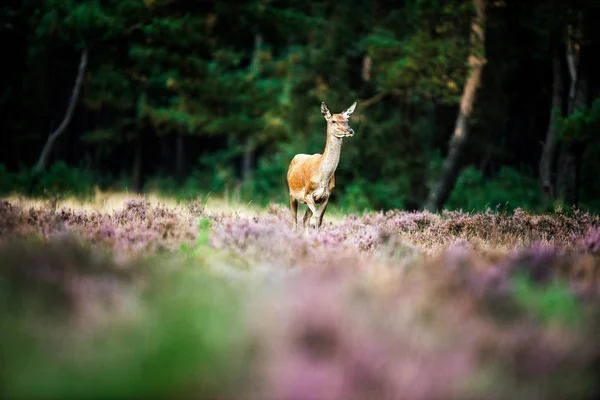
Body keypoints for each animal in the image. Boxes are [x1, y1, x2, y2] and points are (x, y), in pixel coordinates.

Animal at [286, 100, 356, 233]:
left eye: (347, 120)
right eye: (333, 121)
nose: (350, 130)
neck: (322, 177)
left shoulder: (326, 197)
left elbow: (319, 220)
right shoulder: (307, 194)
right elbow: (316, 216)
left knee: (305, 219)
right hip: (292, 193)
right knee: (294, 221)